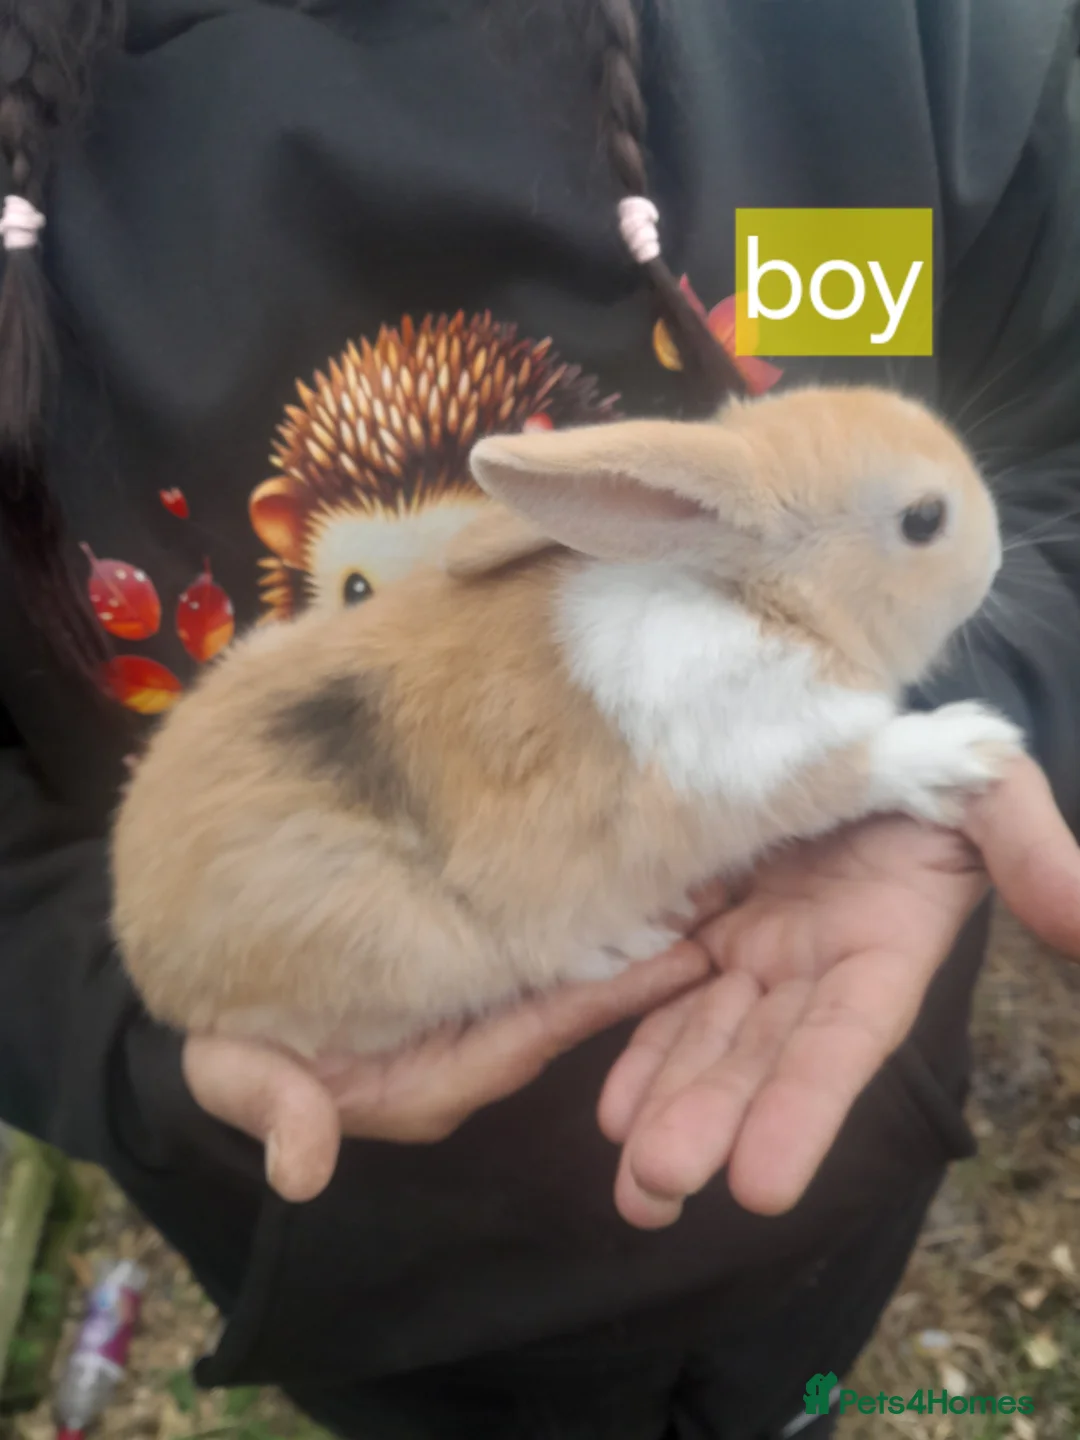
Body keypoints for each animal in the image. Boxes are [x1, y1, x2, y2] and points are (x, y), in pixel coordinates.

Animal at [111, 385, 1023, 1058]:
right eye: (924, 520)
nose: (996, 560)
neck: (752, 599)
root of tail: (147, 950)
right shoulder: (765, 757)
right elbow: (865, 762)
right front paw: (975, 747)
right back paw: (627, 944)